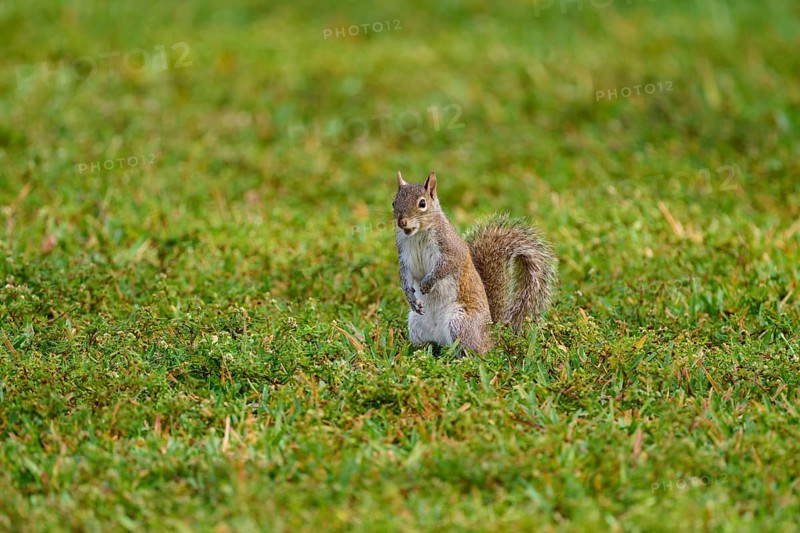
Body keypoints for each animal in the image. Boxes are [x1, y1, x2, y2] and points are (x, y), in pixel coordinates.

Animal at [392, 170, 557, 355]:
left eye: (422, 203)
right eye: (394, 202)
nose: (402, 222)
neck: (418, 234)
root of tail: (490, 337)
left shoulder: (452, 249)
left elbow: (447, 266)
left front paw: (428, 282)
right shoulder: (404, 255)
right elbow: (405, 276)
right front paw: (410, 296)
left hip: (460, 323)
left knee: (473, 353)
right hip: (416, 324)